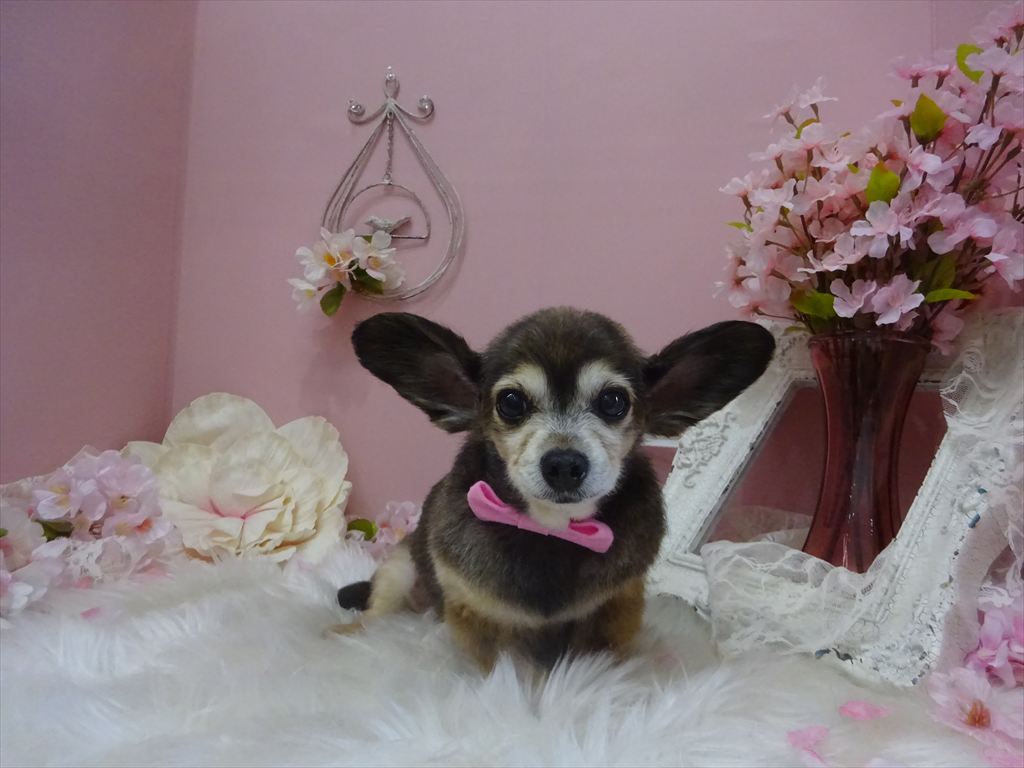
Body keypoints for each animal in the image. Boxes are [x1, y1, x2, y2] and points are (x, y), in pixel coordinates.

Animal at [335, 307, 774, 670]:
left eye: (613, 401)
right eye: (511, 402)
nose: (564, 464)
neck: (551, 530)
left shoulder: (614, 610)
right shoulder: (476, 617)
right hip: (401, 568)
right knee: (378, 610)